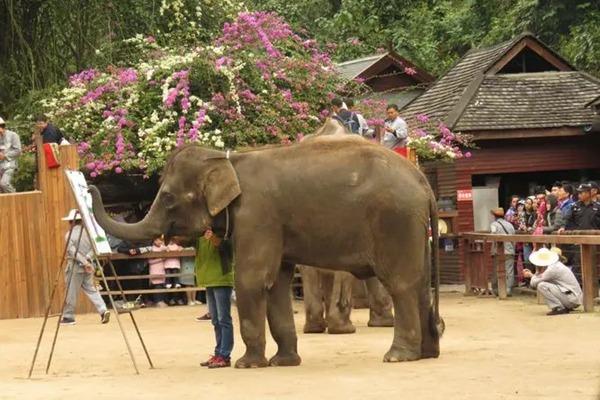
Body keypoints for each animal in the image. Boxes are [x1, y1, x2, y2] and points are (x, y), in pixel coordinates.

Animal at [91, 130, 442, 368]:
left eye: (166, 197)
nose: (92, 185)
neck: (228, 159)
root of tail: (423, 183)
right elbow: (276, 284)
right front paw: (283, 362)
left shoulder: (256, 214)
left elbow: (251, 279)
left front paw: (247, 365)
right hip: (412, 226)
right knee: (419, 283)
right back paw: (427, 354)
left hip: (395, 220)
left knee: (401, 284)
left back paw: (397, 356)